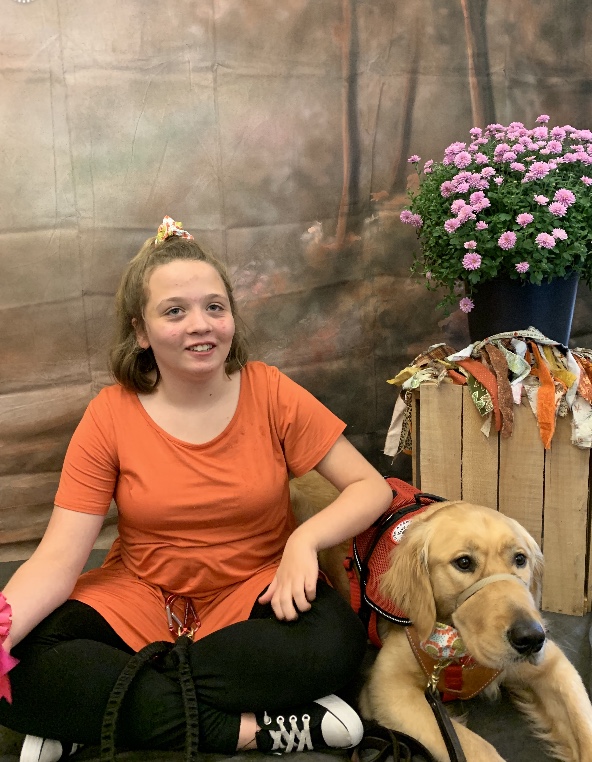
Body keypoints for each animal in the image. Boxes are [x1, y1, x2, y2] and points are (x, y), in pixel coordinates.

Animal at [358, 498, 592, 760]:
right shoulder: (387, 687)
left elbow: (584, 725)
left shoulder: (554, 666)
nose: (531, 638)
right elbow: (478, 747)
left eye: (520, 559)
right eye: (464, 562)